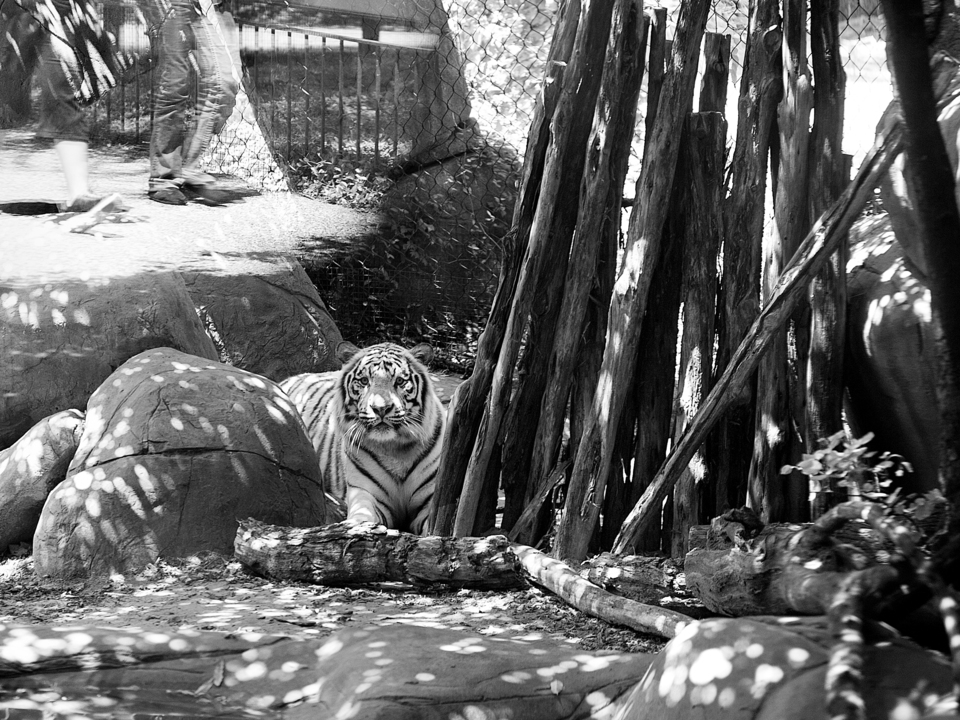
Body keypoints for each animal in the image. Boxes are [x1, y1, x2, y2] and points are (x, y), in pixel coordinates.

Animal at [279, 341, 446, 535]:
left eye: (400, 381)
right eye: (364, 381)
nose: (381, 408)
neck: (395, 449)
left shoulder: (430, 502)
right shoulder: (366, 492)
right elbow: (362, 516)